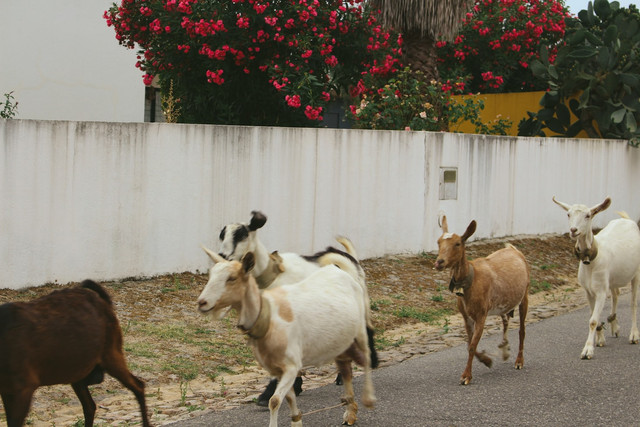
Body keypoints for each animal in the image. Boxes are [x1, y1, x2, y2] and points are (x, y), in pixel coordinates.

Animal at [0, 280, 151, 427]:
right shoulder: (7, 389)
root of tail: (103, 302)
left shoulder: (24, 386)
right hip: (78, 370)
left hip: (111, 352)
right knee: (90, 406)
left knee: (137, 385)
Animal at [196, 251, 376, 427]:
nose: (202, 303)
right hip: (339, 342)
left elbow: (275, 401)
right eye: (210, 275)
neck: (268, 318)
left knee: (366, 358)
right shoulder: (278, 369)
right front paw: (296, 420)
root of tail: (341, 271)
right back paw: (350, 411)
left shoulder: (291, 366)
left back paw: (368, 399)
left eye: (232, 278)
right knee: (346, 370)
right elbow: (288, 398)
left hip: (360, 330)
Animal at [436, 216, 528, 386]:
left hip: (525, 294)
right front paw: (487, 360)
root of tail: (514, 249)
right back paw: (504, 349)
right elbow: (469, 343)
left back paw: (519, 361)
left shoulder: (481, 314)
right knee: (505, 319)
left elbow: (472, 345)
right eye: (438, 242)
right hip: (503, 302)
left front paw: (466, 376)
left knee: (522, 330)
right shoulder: (466, 315)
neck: (471, 280)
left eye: (457, 243)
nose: (439, 262)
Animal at [552, 197, 640, 362]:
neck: (592, 259)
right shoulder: (588, 291)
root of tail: (627, 220)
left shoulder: (600, 291)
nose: (573, 230)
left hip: (636, 274)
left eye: (588, 215)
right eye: (568, 214)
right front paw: (600, 339)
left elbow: (592, 320)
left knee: (633, 304)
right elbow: (595, 318)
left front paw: (587, 350)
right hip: (612, 278)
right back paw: (614, 324)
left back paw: (634, 335)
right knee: (616, 294)